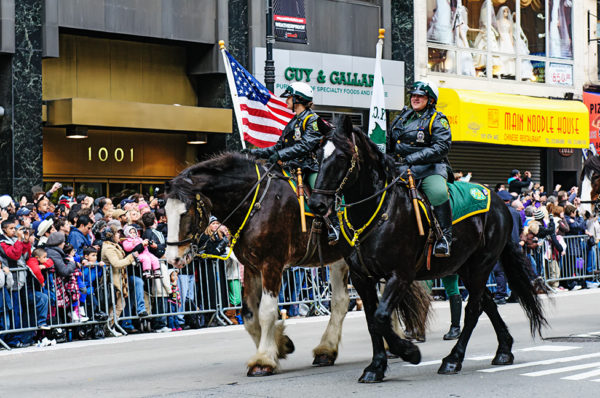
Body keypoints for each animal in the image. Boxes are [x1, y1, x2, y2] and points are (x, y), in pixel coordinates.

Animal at [162, 154, 428, 378]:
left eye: (186, 212)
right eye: (165, 211)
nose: (172, 258)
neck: (257, 200)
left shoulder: (272, 264)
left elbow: (266, 311)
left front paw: (264, 359)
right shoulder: (252, 268)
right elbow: (249, 315)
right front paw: (280, 345)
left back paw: (391, 344)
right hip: (342, 261)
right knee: (342, 302)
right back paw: (328, 349)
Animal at [310, 117, 548, 382]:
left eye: (342, 156)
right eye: (318, 154)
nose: (316, 204)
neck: (378, 209)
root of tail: (499, 202)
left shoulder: (400, 275)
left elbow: (381, 317)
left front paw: (409, 352)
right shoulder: (362, 278)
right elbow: (372, 322)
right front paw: (376, 366)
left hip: (481, 265)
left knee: (474, 309)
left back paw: (453, 359)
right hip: (465, 268)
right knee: (488, 303)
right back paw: (504, 350)